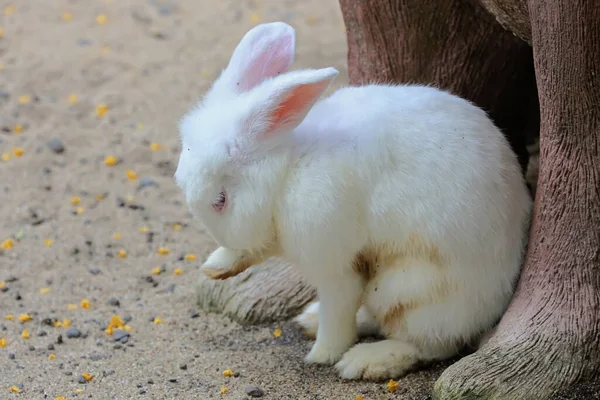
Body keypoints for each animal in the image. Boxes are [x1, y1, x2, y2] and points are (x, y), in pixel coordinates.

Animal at [176, 21, 532, 382]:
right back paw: (310, 319)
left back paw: (365, 360)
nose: (222, 243)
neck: (287, 173)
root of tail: (496, 303)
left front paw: (322, 354)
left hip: (408, 293)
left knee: (433, 345)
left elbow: (339, 307)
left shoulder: (333, 262)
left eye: (220, 200)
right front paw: (216, 266)